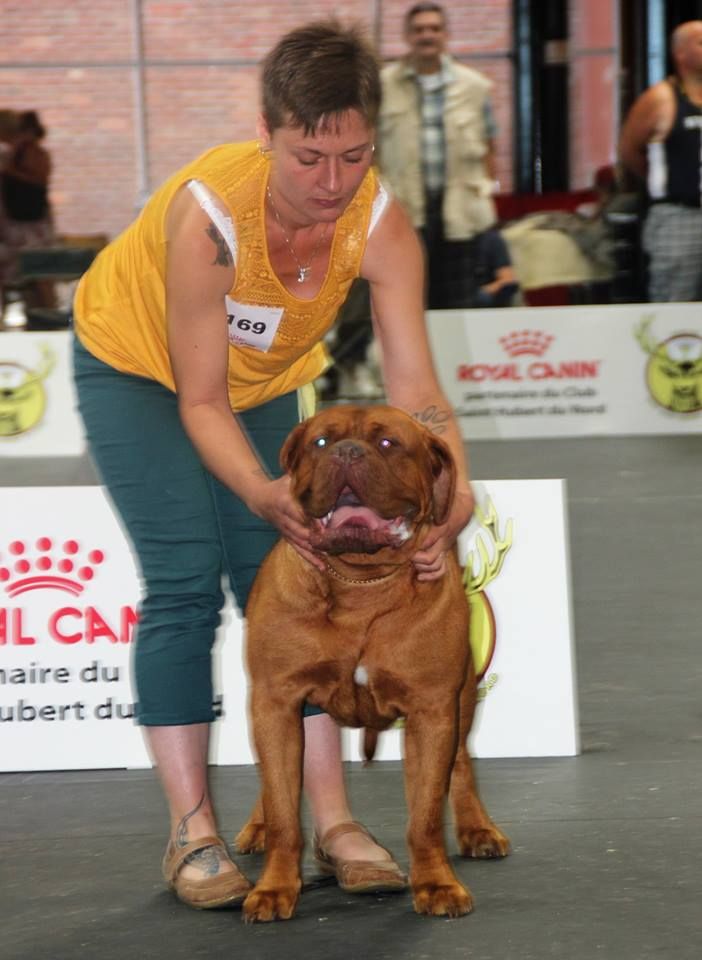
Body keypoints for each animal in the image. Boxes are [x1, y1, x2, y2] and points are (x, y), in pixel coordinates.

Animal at [239, 400, 508, 924]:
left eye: (388, 443)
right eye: (321, 441)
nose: (346, 451)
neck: (359, 584)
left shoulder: (431, 709)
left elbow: (425, 815)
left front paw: (437, 885)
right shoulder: (277, 701)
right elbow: (283, 810)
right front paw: (274, 889)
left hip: (463, 697)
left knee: (462, 762)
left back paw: (477, 829)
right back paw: (256, 827)